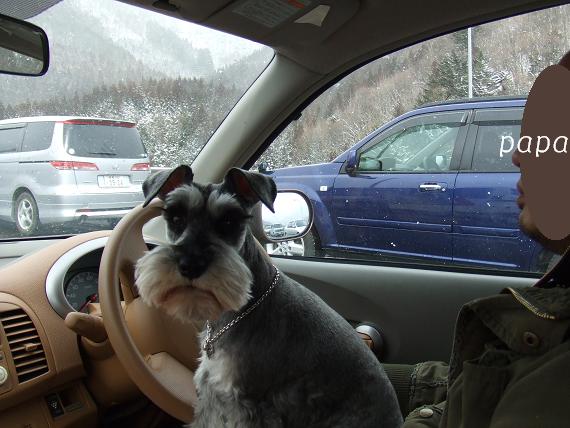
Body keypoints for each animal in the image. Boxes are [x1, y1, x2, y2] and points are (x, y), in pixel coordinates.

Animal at [135, 165, 402, 427]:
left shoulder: (248, 406)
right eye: (176, 217)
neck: (245, 306)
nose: (190, 265)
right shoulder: (213, 394)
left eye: (229, 220)